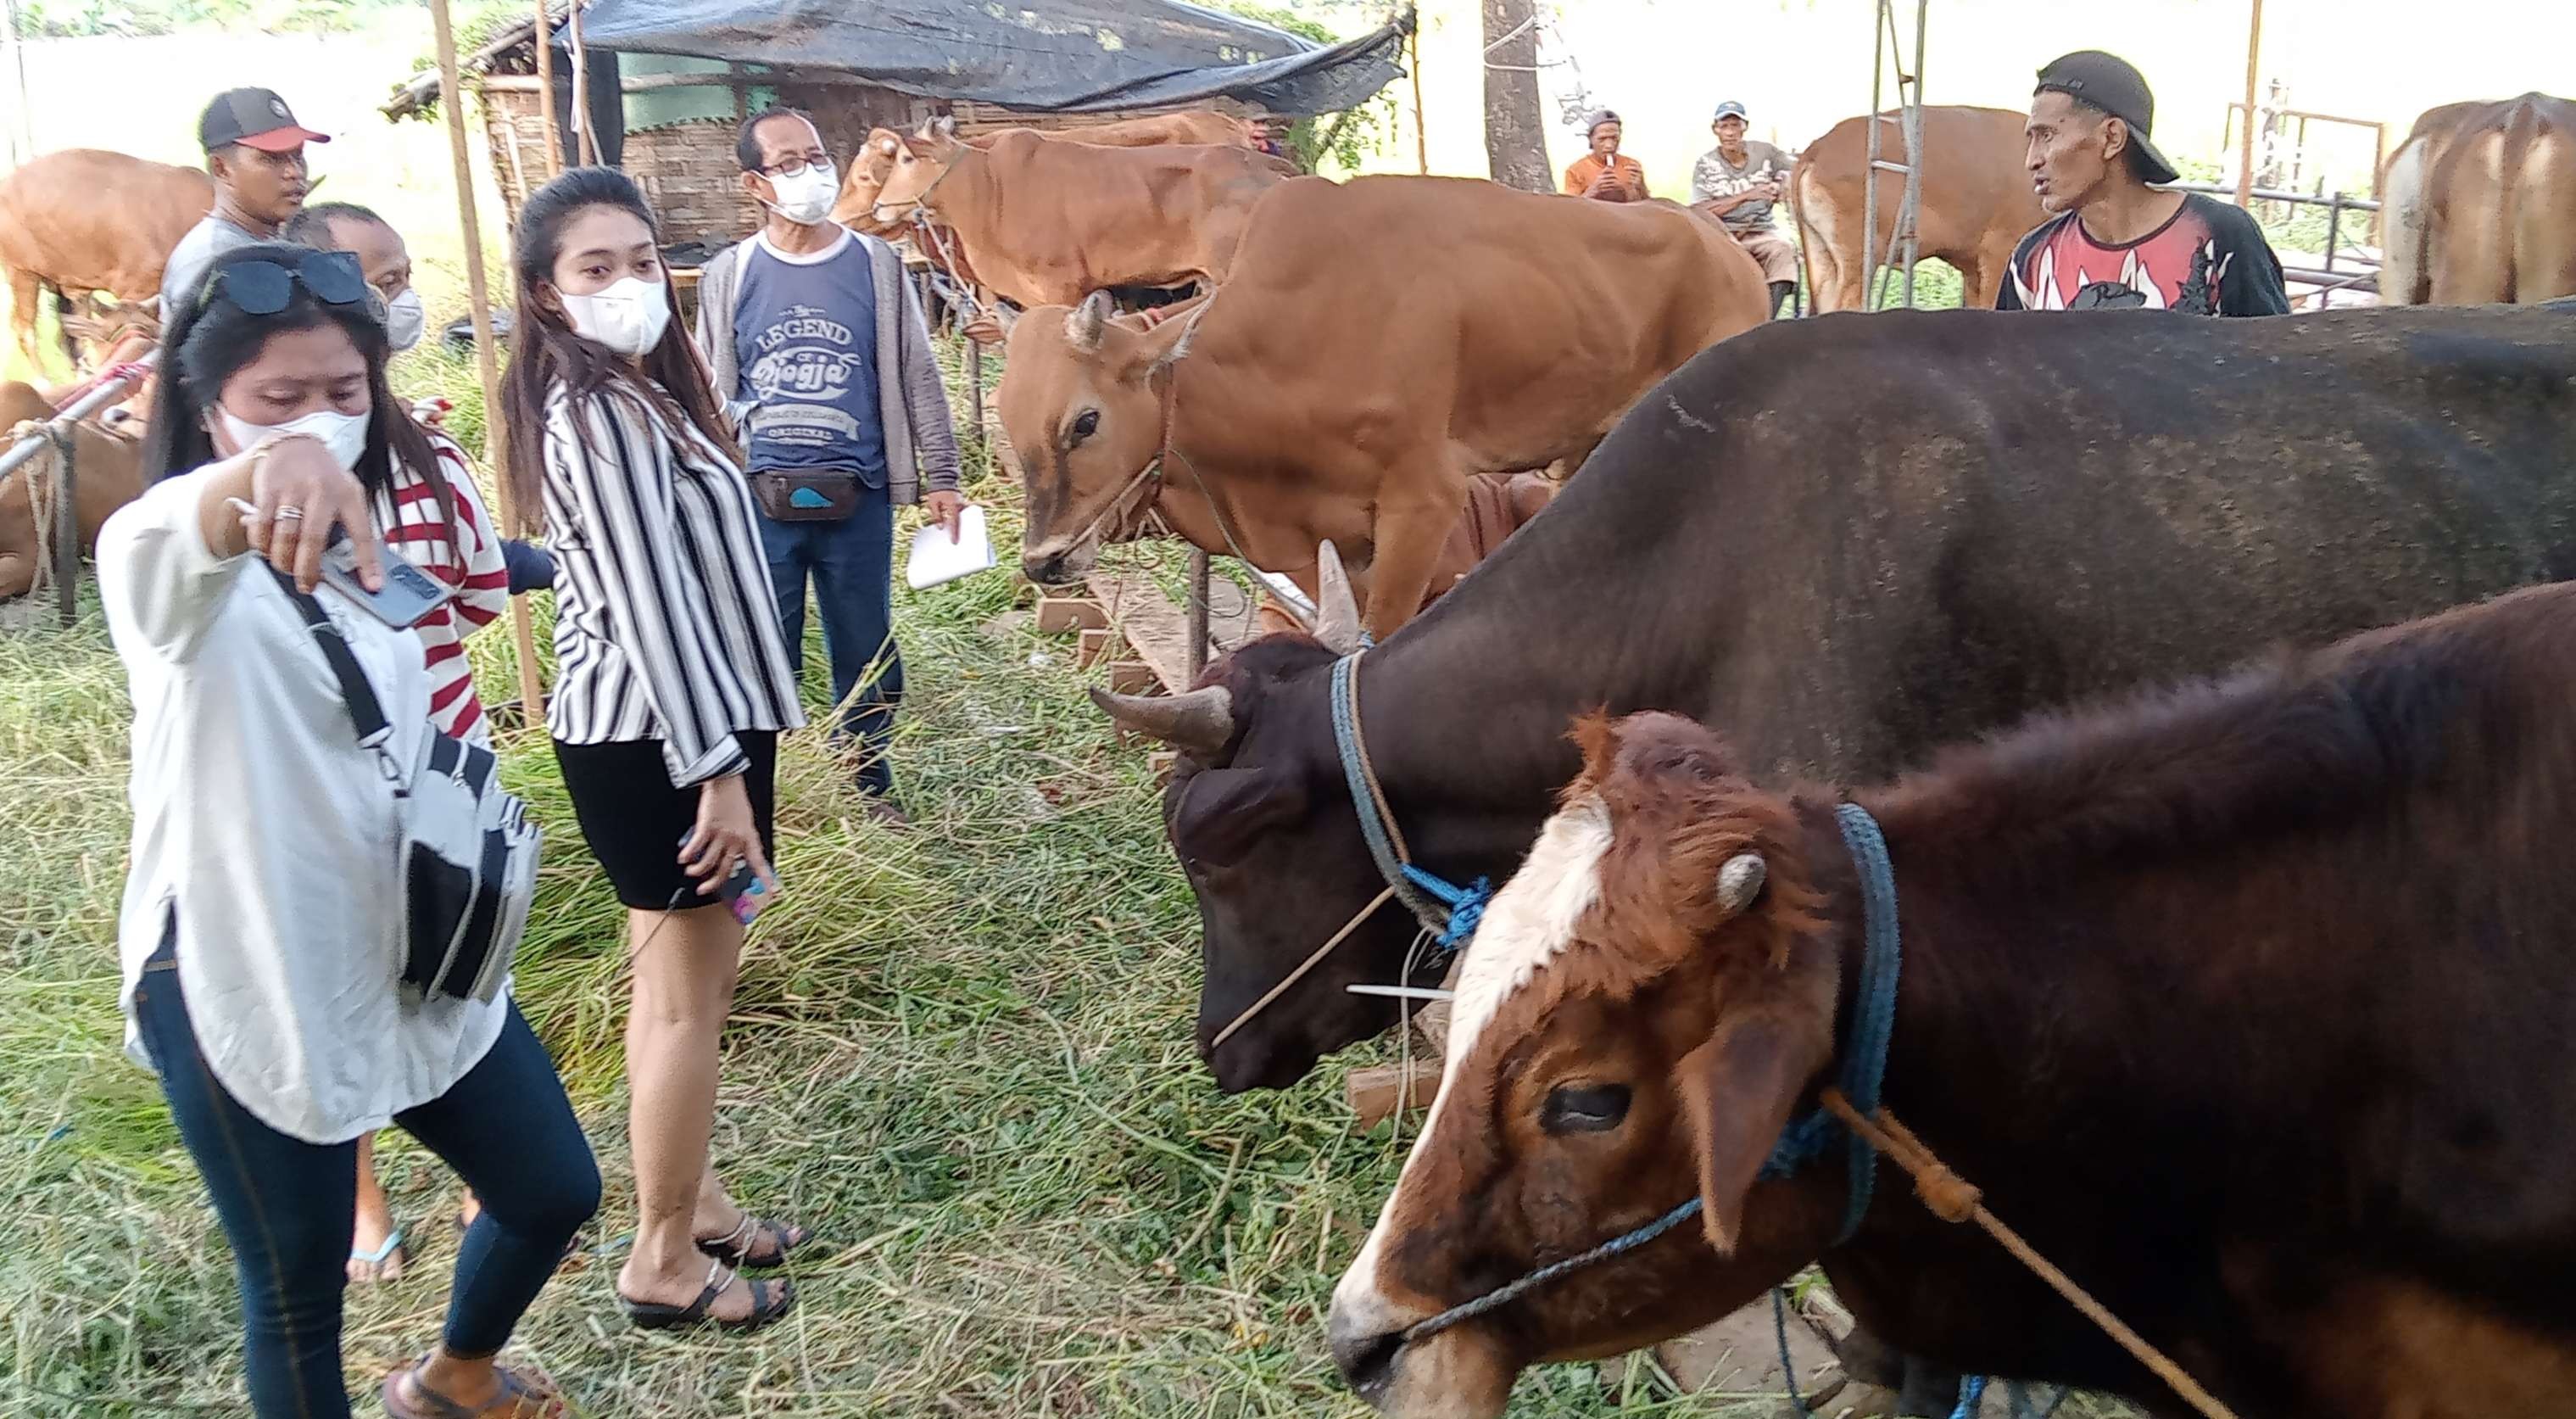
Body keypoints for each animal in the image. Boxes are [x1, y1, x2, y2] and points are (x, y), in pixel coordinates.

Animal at [989, 175, 1772, 641]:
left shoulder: (1423, 501)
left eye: (1085, 421)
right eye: (1007, 419)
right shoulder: (1331, 549)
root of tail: (1724, 244)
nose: (1042, 562)